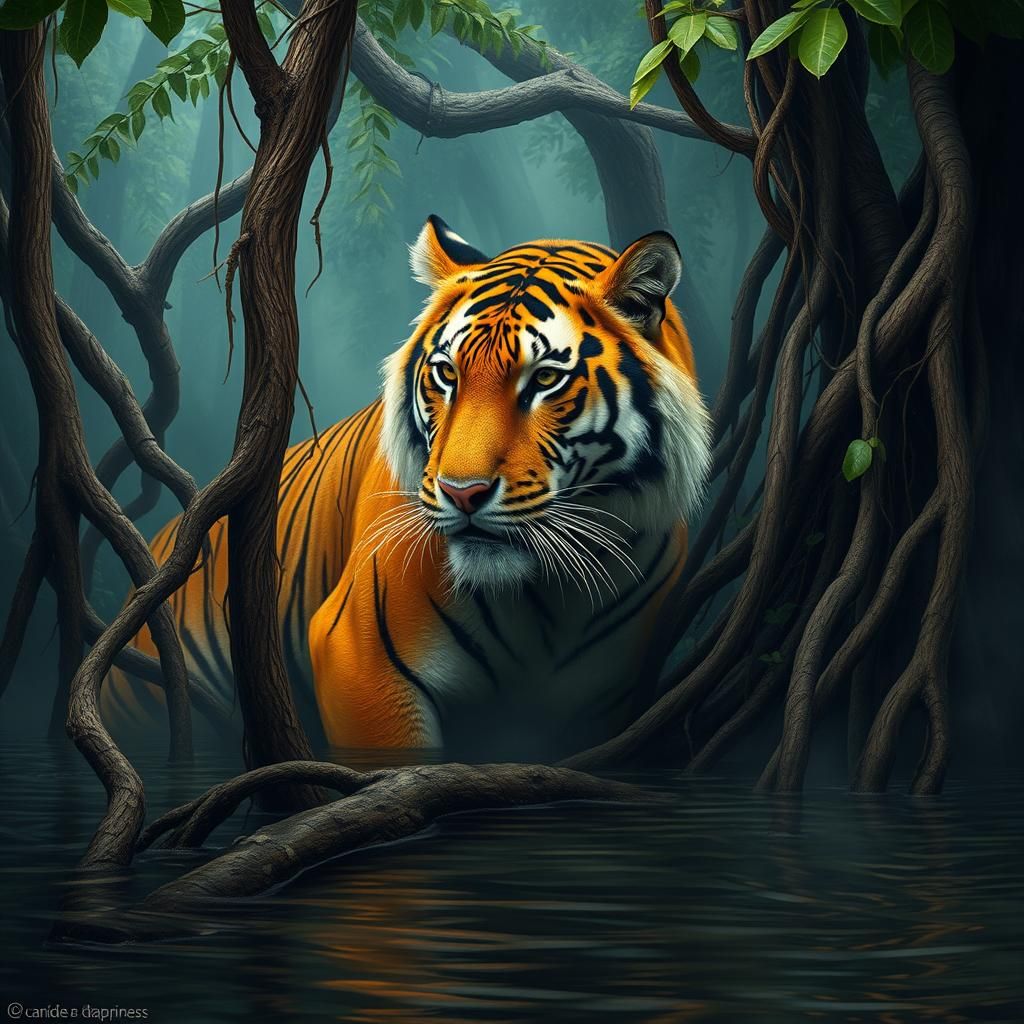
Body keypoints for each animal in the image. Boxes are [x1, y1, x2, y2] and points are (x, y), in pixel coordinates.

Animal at [101, 216, 712, 759]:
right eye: (447, 374)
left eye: (544, 379)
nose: (462, 493)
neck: (546, 603)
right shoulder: (358, 659)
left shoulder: (604, 703)